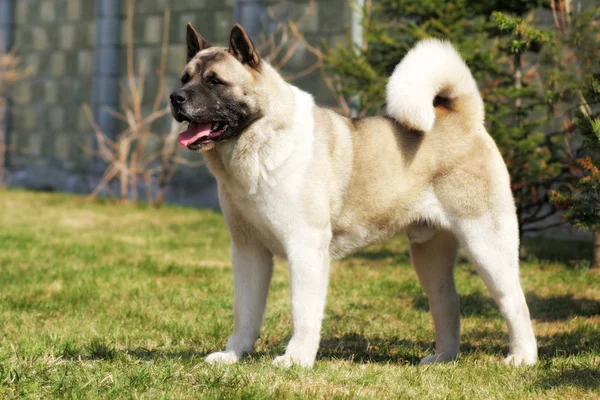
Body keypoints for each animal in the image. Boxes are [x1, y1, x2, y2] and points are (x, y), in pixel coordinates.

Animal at [170, 23, 540, 368]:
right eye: (185, 78)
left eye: (215, 82)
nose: (176, 97)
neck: (259, 142)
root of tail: (464, 118)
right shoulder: (248, 253)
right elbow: (245, 312)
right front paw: (233, 355)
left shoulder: (305, 249)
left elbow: (302, 311)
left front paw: (295, 360)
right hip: (429, 257)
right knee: (447, 304)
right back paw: (442, 359)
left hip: (487, 245)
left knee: (514, 303)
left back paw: (522, 357)